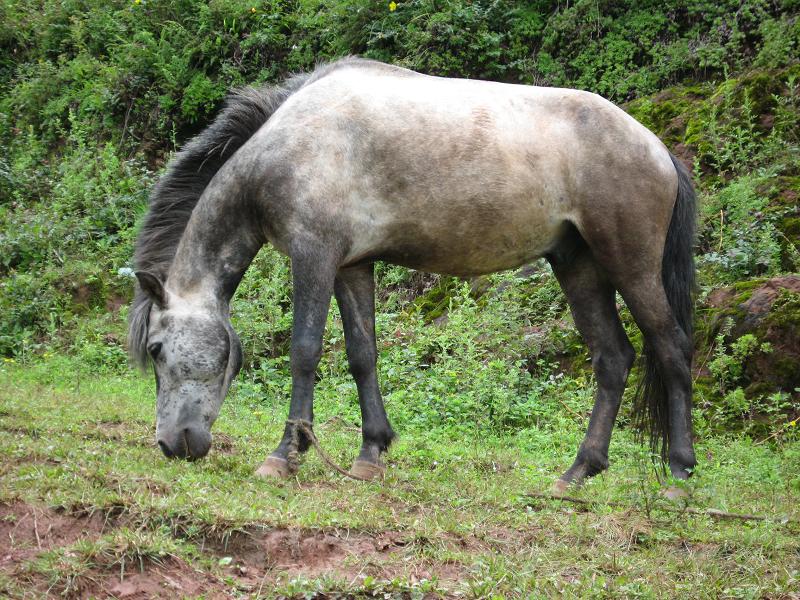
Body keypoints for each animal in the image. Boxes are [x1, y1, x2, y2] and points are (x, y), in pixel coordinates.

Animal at [128, 56, 696, 488]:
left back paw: (679, 474)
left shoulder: (313, 257)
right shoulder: (350, 266)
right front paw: (370, 453)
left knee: (671, 347)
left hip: (630, 263)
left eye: (155, 348)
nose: (171, 444)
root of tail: (656, 147)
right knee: (613, 359)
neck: (291, 142)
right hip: (578, 266)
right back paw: (578, 471)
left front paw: (285, 454)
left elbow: (305, 351)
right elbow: (362, 355)